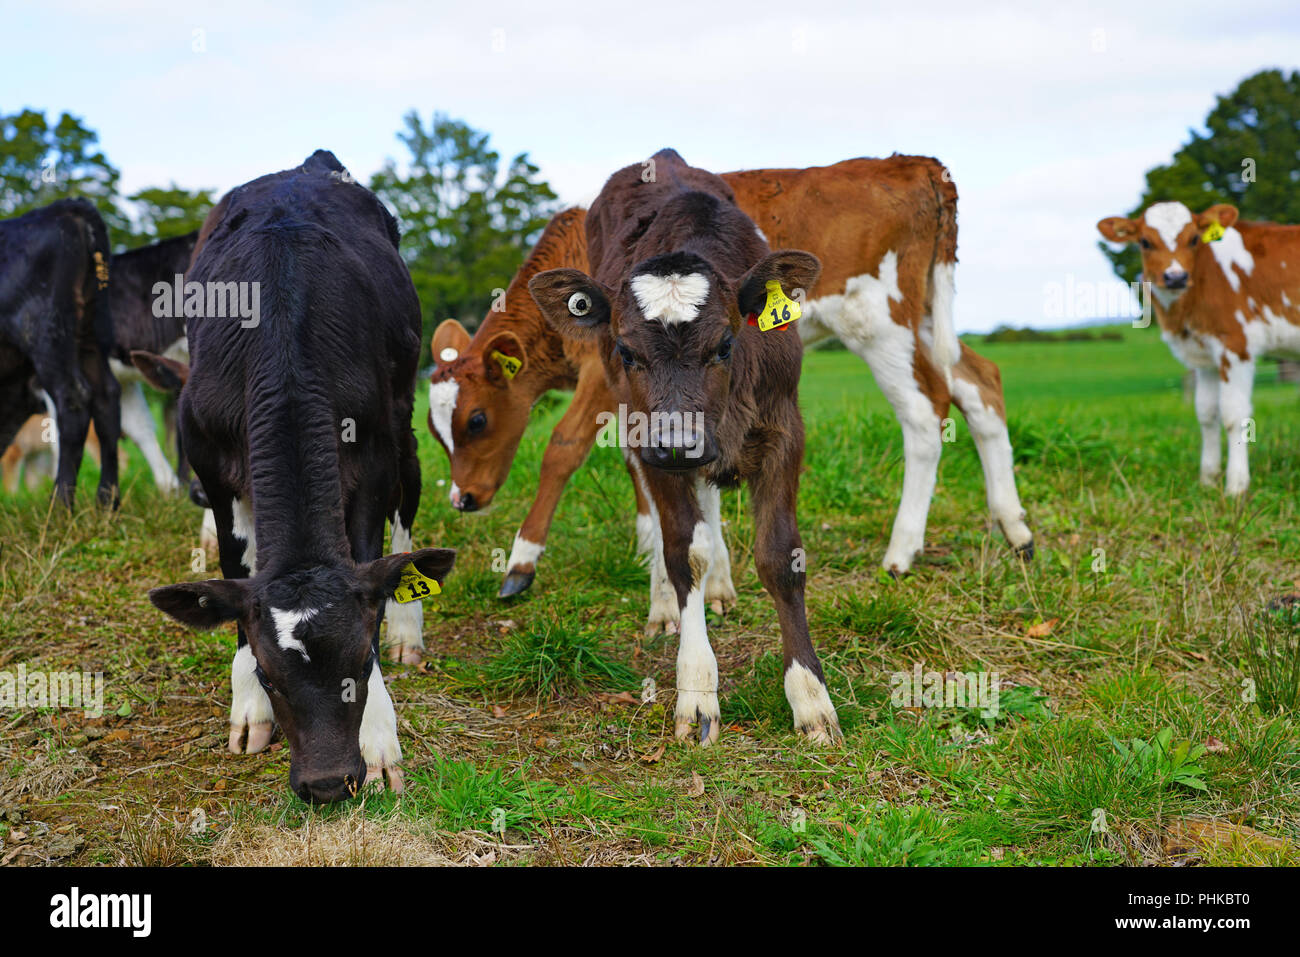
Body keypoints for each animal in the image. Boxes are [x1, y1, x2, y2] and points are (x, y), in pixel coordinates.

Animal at [0, 200, 121, 509]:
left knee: (74, 400)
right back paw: (107, 503)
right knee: (107, 398)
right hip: (91, 334)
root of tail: (68, 208)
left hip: (47, 333)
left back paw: (60, 505)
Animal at [144, 149, 452, 806]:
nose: (328, 783)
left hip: (403, 415)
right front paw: (248, 710)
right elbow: (234, 569)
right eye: (269, 674)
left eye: (358, 666)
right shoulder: (207, 457)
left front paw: (379, 735)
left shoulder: (373, 454)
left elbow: (373, 564)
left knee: (408, 511)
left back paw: (409, 630)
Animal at [530, 151, 842, 748]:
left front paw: (810, 696)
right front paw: (696, 689)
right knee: (659, 515)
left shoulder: (783, 428)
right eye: (626, 351)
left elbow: (780, 556)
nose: (678, 441)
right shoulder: (648, 438)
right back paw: (662, 606)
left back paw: (720, 583)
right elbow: (682, 552)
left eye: (725, 344)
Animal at [1097, 204, 1300, 496]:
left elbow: (1233, 414)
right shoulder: (1204, 357)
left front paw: (1236, 486)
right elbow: (1206, 413)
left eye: (1194, 239)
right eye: (1145, 242)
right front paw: (1208, 480)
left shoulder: (1236, 346)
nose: (1176, 277)